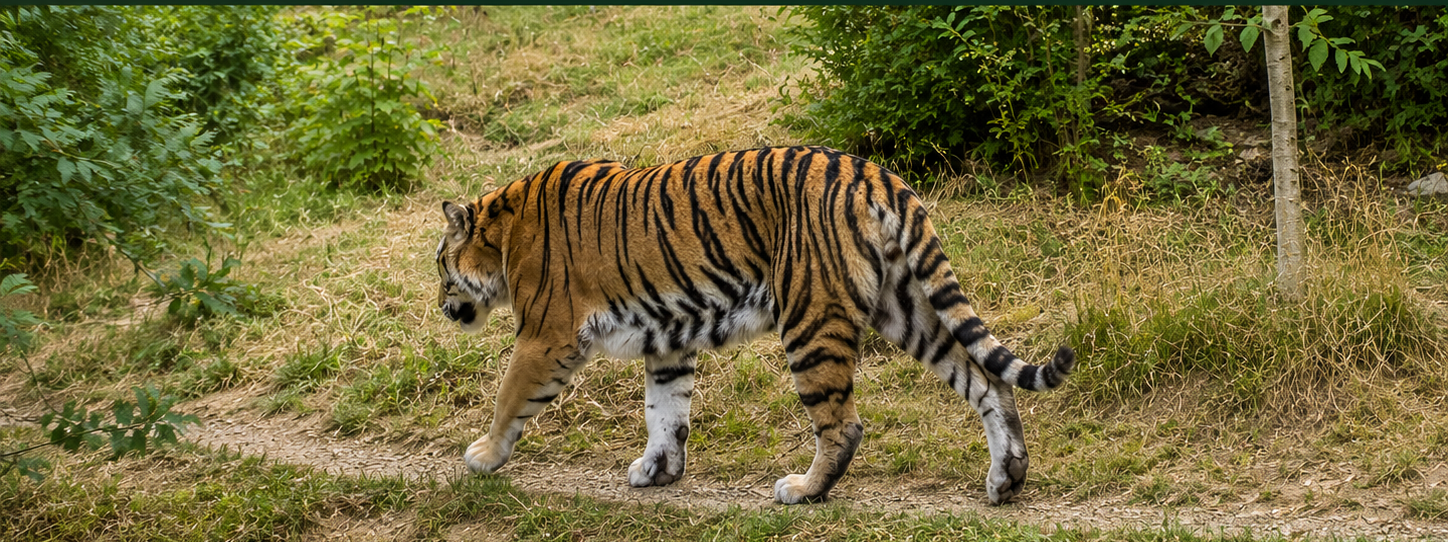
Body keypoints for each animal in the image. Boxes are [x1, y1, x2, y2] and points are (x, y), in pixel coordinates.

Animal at [435, 146, 1074, 505]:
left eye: (441, 266)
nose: (442, 306)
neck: (502, 232)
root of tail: (871, 172)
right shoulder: (668, 339)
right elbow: (665, 411)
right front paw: (659, 471)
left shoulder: (546, 335)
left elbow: (509, 397)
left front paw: (483, 456)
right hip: (909, 306)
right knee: (987, 381)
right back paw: (1007, 479)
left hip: (811, 319)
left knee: (843, 425)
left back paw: (803, 491)